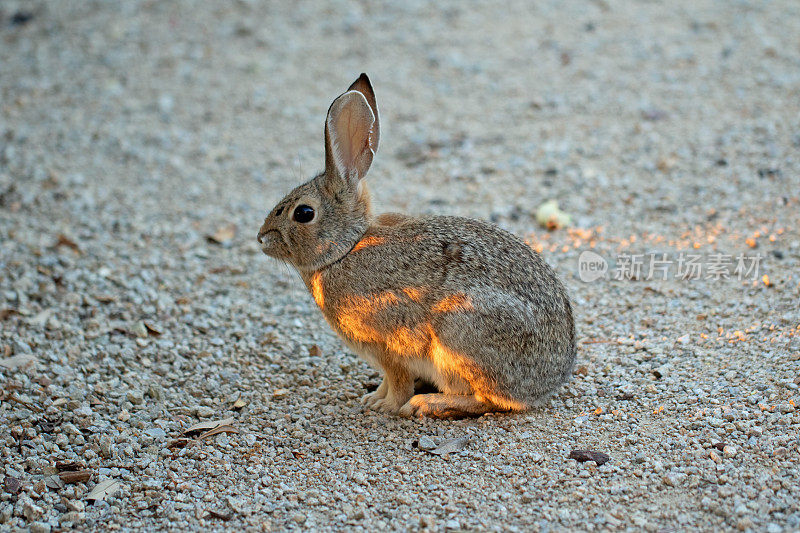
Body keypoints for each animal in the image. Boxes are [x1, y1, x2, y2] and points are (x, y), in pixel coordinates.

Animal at [260, 72, 580, 418]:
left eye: (303, 213)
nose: (261, 238)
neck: (345, 249)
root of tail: (547, 383)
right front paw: (372, 398)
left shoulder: (389, 346)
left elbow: (398, 380)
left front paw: (384, 405)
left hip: (458, 334)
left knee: (488, 399)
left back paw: (427, 403)